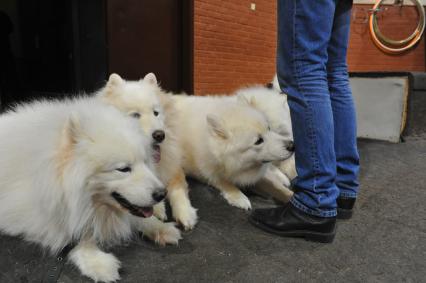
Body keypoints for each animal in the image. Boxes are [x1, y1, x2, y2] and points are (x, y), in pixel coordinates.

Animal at [0, 97, 181, 282]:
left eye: (145, 162)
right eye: (123, 169)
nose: (162, 194)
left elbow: (139, 218)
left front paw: (160, 228)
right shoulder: (34, 214)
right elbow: (75, 236)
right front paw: (97, 262)